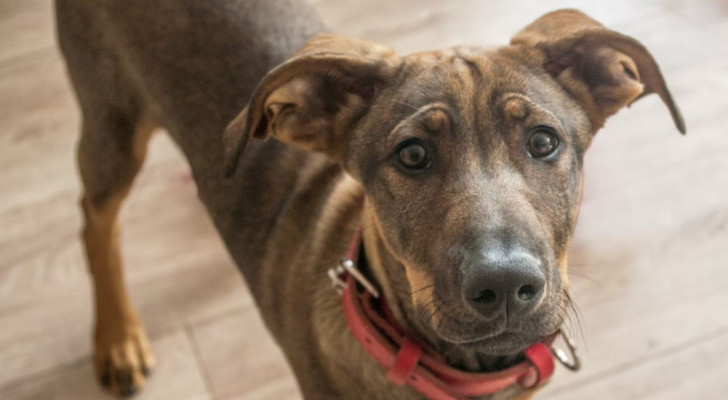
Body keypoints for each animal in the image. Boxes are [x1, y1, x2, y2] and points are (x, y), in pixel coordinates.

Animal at [55, 1, 684, 398]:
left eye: (543, 142)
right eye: (412, 155)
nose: (505, 285)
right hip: (111, 123)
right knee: (93, 220)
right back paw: (117, 340)